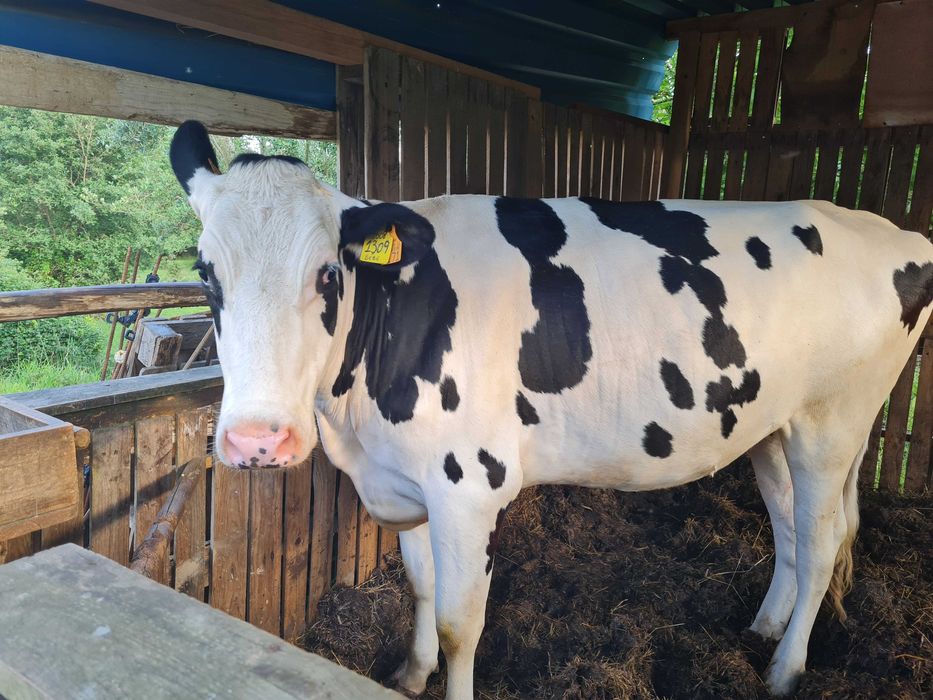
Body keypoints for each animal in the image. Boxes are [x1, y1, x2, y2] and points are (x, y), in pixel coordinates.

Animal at [169, 120, 933, 699]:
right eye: (206, 275)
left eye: (327, 272)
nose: (257, 441)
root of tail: (898, 235)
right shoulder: (407, 478)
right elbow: (419, 584)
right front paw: (410, 673)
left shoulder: (468, 485)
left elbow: (460, 623)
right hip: (771, 426)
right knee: (790, 531)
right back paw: (763, 629)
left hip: (831, 424)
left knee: (824, 540)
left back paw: (783, 670)